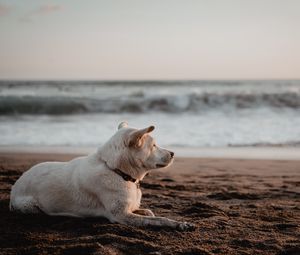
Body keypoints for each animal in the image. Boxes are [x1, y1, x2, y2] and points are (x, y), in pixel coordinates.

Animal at [9, 122, 195, 230]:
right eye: (154, 145)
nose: (173, 153)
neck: (118, 171)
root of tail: (14, 187)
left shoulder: (128, 209)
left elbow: (149, 213)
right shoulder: (121, 215)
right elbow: (159, 220)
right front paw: (179, 224)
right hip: (29, 206)